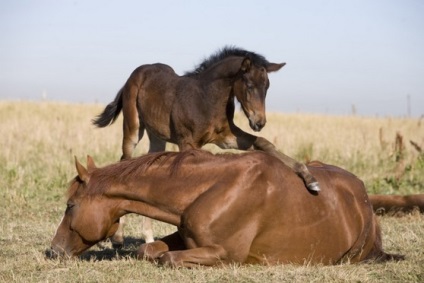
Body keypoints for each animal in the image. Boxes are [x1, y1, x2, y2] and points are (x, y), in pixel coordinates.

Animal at [48, 152, 412, 268]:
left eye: (70, 205)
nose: (53, 251)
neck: (214, 186)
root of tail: (364, 202)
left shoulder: (224, 253)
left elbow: (168, 259)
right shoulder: (185, 236)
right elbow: (150, 250)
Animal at [91, 47, 318, 246]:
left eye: (267, 87)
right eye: (249, 85)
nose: (259, 122)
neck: (207, 99)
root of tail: (137, 73)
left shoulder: (226, 137)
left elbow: (264, 143)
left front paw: (311, 180)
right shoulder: (187, 142)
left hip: (156, 137)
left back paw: (148, 237)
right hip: (133, 127)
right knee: (125, 160)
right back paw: (118, 238)